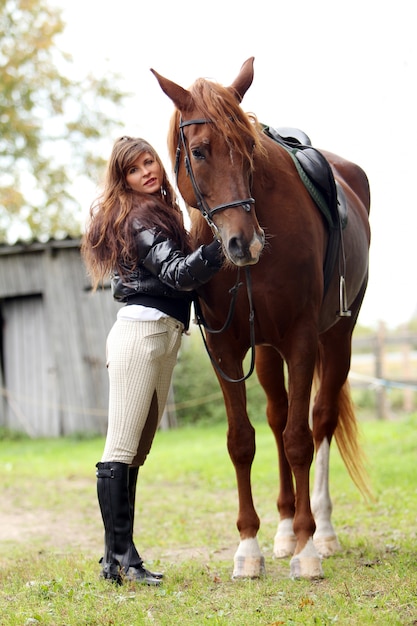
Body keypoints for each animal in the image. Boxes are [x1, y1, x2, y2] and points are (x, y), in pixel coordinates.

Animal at [150, 58, 370, 580]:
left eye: (248, 148)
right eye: (199, 151)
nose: (242, 243)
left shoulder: (303, 339)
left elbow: (300, 440)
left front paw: (309, 552)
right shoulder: (226, 346)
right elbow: (242, 440)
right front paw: (249, 547)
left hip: (339, 338)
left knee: (319, 420)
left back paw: (321, 530)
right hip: (267, 351)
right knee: (276, 416)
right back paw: (287, 529)